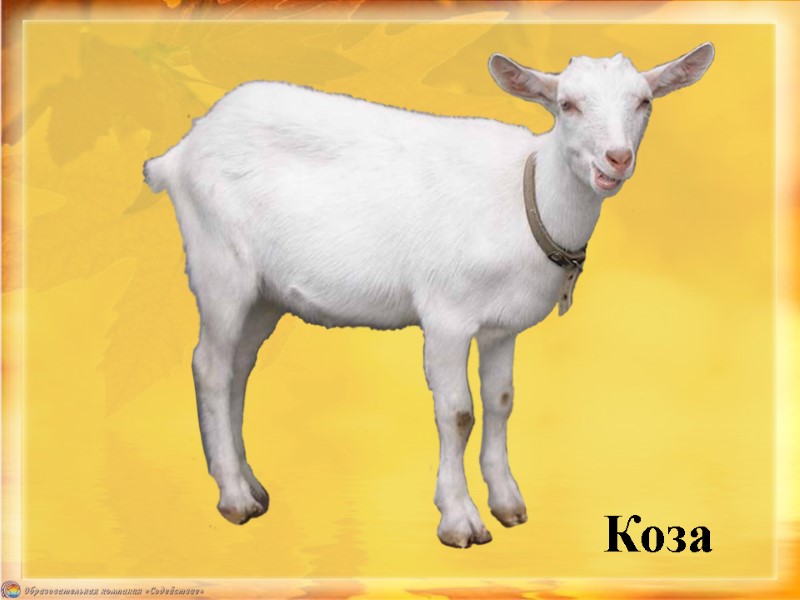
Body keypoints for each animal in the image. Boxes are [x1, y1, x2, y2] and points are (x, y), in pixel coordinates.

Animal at [143, 43, 714, 548]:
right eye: (567, 104)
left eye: (644, 101)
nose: (615, 160)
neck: (523, 196)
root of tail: (180, 153)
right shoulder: (446, 315)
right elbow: (458, 413)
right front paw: (460, 520)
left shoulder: (502, 326)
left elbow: (502, 402)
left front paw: (508, 503)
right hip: (220, 264)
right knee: (210, 366)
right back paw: (235, 498)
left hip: (265, 295)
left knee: (238, 368)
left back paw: (251, 484)